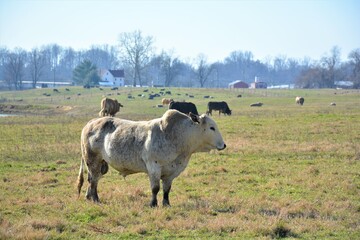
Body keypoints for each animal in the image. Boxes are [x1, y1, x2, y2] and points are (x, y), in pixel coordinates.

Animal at [77, 109, 225, 207]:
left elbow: (166, 189)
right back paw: (95, 199)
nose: (223, 145)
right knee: (93, 180)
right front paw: (153, 204)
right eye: (212, 127)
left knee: (93, 179)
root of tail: (91, 123)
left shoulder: (170, 172)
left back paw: (89, 197)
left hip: (100, 164)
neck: (175, 136)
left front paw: (166, 204)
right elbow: (155, 188)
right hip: (92, 160)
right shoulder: (153, 167)